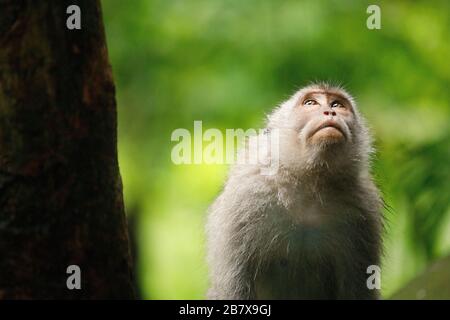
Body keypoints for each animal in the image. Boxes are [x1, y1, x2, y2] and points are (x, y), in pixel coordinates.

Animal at [206, 82, 382, 300]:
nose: (330, 111)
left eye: (337, 104)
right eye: (311, 103)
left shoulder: (364, 208)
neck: (309, 185)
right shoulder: (243, 198)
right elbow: (232, 289)